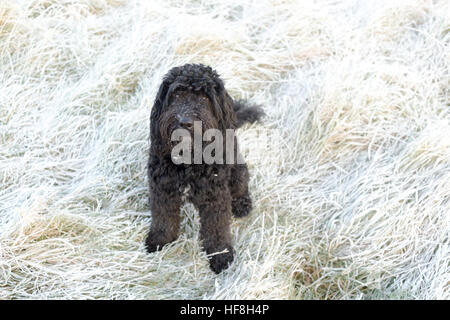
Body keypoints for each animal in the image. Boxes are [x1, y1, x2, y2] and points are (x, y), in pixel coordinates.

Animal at [146, 64, 262, 272]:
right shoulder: (162, 190)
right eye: (177, 93)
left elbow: (216, 229)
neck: (188, 159)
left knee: (242, 186)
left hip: (238, 171)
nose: (184, 121)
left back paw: (242, 204)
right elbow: (163, 219)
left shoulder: (215, 197)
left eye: (205, 98)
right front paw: (160, 241)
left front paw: (221, 255)